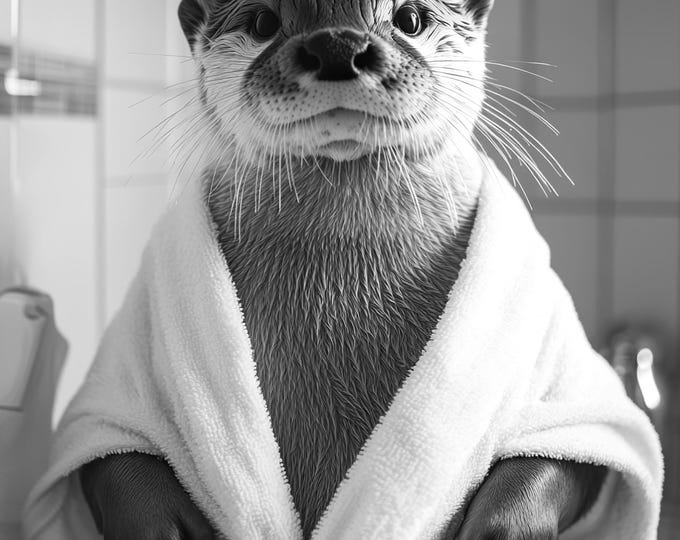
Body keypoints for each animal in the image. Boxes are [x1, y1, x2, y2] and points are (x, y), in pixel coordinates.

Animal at [80, 1, 607, 538]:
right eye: (263, 22)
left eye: (410, 19)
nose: (337, 44)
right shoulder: (113, 400)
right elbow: (118, 451)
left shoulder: (571, 402)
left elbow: (561, 450)